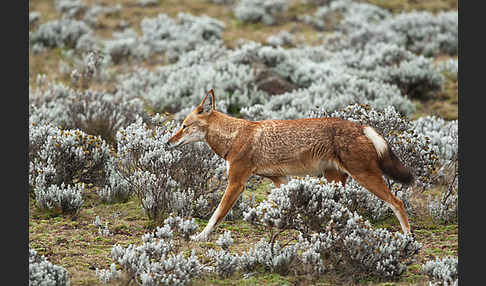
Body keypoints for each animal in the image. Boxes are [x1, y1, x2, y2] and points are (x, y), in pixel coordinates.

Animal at [166, 89, 414, 241]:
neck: (234, 136)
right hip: (335, 181)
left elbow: (216, 215)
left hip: (365, 178)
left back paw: (408, 239)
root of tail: (361, 126)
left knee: (397, 202)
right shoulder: (281, 180)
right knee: (342, 211)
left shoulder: (236, 183)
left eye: (184, 126)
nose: (168, 142)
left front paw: (200, 236)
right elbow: (291, 210)